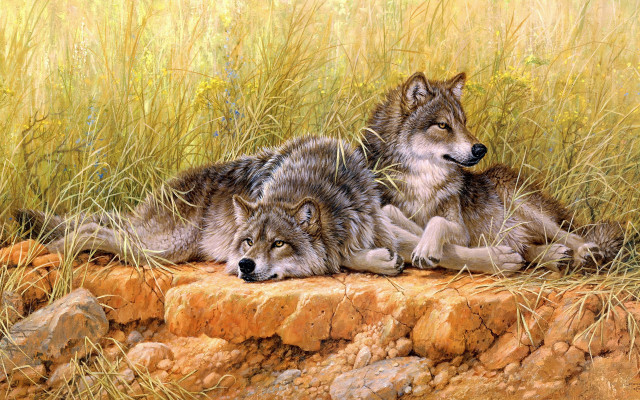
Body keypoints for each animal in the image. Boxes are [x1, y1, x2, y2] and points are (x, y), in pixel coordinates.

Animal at [16, 136, 403, 281]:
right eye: (248, 241)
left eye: (278, 243)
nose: (244, 264)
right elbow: (342, 257)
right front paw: (378, 261)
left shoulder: (371, 219)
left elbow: (353, 251)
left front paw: (382, 258)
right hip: (165, 248)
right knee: (94, 231)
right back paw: (59, 247)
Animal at [360, 71, 624, 273]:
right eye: (443, 125)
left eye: (464, 123)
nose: (481, 149)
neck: (422, 179)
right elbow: (396, 214)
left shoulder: (461, 231)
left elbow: (436, 221)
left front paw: (427, 248)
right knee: (527, 248)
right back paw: (554, 256)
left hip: (515, 196)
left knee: (571, 236)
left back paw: (584, 253)